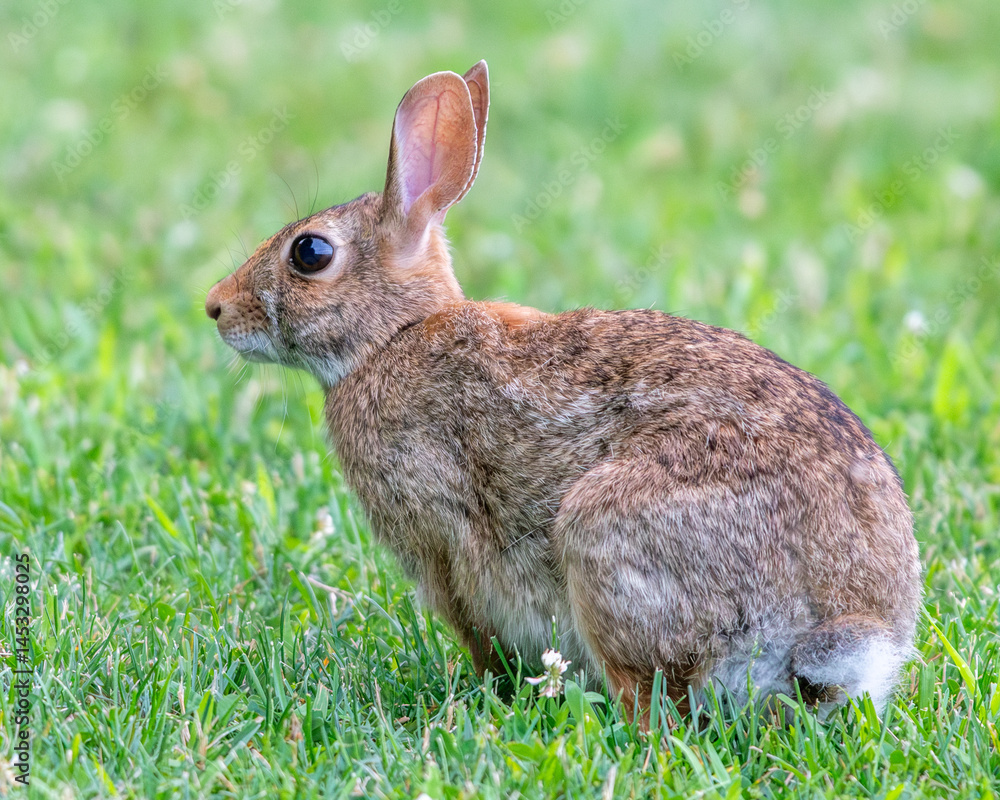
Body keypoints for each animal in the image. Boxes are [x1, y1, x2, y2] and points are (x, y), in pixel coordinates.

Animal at [205, 60, 921, 717]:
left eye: (310, 254)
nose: (216, 308)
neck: (393, 336)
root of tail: (839, 625)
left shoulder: (444, 547)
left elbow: (477, 627)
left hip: (600, 539)